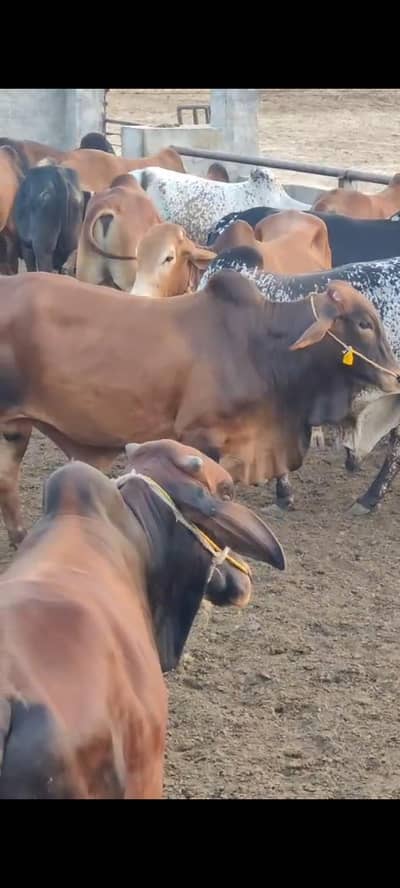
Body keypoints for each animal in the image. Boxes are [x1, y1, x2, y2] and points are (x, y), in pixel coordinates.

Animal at [0, 270, 397, 545]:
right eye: (363, 323)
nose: (394, 375)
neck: (260, 346)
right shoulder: (200, 436)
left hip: (15, 427)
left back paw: (21, 538)